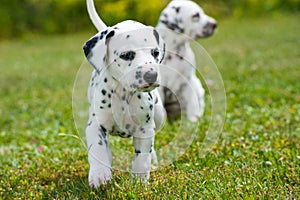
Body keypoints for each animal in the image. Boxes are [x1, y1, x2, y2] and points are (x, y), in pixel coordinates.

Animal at [83, 0, 165, 188]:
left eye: (155, 53)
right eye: (126, 55)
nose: (151, 75)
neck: (123, 94)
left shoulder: (145, 128)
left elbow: (143, 157)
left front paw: (140, 181)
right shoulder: (95, 125)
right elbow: (97, 148)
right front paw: (99, 174)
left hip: (159, 115)